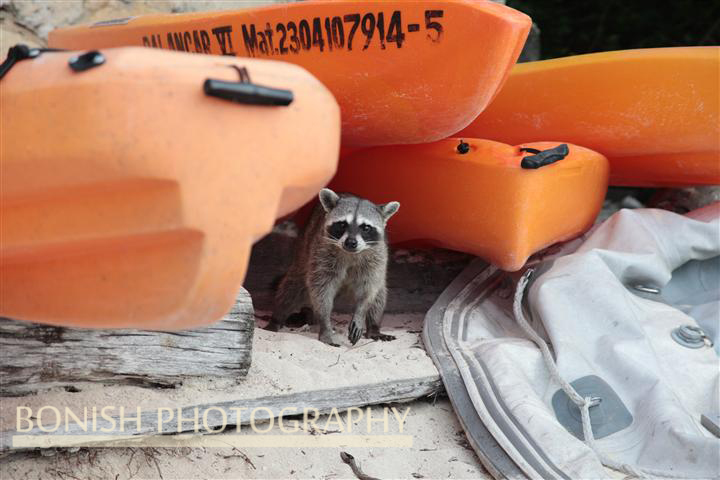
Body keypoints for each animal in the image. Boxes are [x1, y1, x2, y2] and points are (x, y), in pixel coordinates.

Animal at [264, 187, 400, 344]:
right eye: (342, 224)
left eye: (366, 227)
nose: (351, 242)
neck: (350, 253)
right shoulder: (322, 252)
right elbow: (321, 289)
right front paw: (325, 325)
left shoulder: (377, 257)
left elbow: (369, 289)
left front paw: (361, 312)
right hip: (304, 248)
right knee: (292, 288)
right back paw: (276, 319)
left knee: (380, 293)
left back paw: (374, 327)